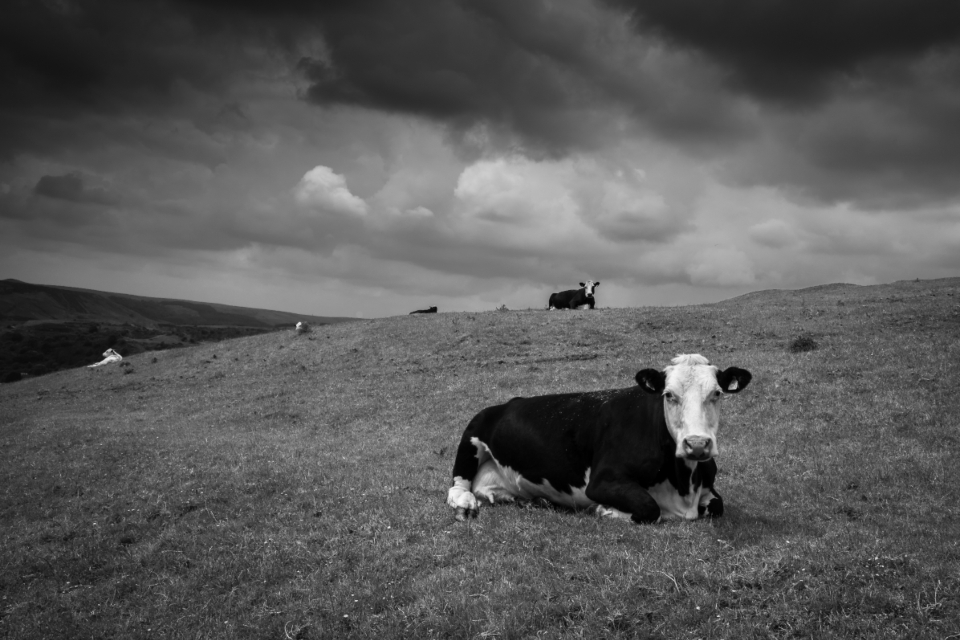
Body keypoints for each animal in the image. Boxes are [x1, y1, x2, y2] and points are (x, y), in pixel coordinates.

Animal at [446, 354, 751, 523]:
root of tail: (508, 403)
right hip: (471, 437)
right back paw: (465, 506)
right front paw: (607, 511)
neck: (683, 484)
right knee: (457, 488)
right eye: (669, 395)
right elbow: (649, 507)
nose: (697, 444)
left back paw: (534, 502)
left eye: (717, 393)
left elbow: (718, 506)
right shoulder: (602, 480)